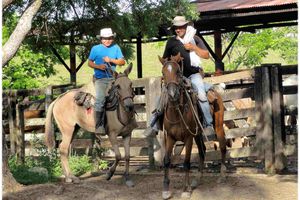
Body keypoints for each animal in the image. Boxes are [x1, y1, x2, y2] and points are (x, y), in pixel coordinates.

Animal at [158, 54, 226, 199]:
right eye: (163, 73)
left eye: (178, 72)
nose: (172, 94)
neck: (177, 112)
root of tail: (216, 90)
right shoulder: (170, 137)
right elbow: (166, 160)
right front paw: (166, 189)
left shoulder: (188, 138)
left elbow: (186, 162)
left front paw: (185, 189)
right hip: (198, 133)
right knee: (202, 150)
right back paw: (197, 179)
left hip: (218, 126)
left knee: (223, 146)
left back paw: (222, 175)